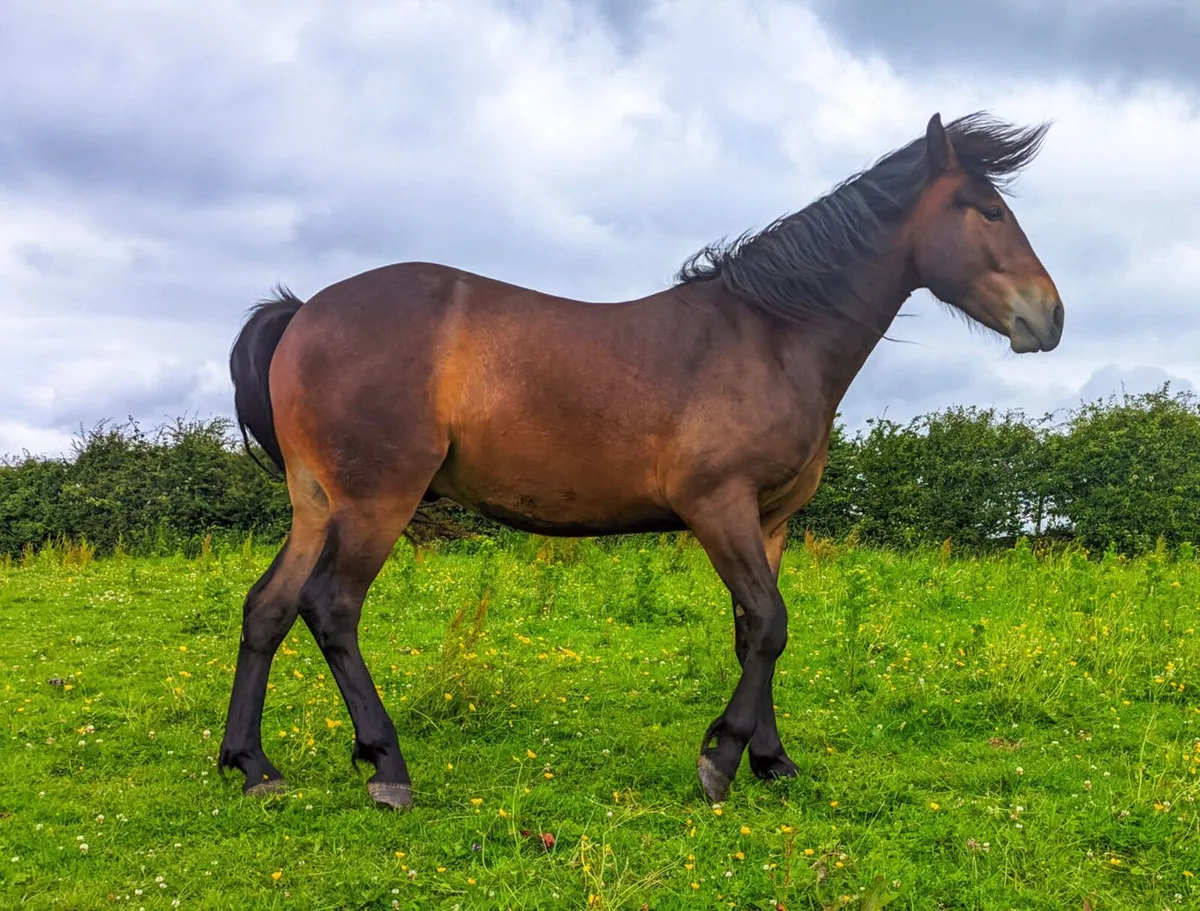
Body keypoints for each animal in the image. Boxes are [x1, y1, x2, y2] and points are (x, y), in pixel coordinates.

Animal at [220, 112, 1064, 808]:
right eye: (987, 211)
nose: (1050, 316)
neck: (770, 334)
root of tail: (305, 312)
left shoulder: (769, 521)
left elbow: (755, 633)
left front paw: (771, 760)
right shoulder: (718, 507)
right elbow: (770, 622)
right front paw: (721, 761)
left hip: (317, 503)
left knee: (268, 607)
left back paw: (252, 766)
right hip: (377, 502)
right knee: (331, 607)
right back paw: (387, 767)